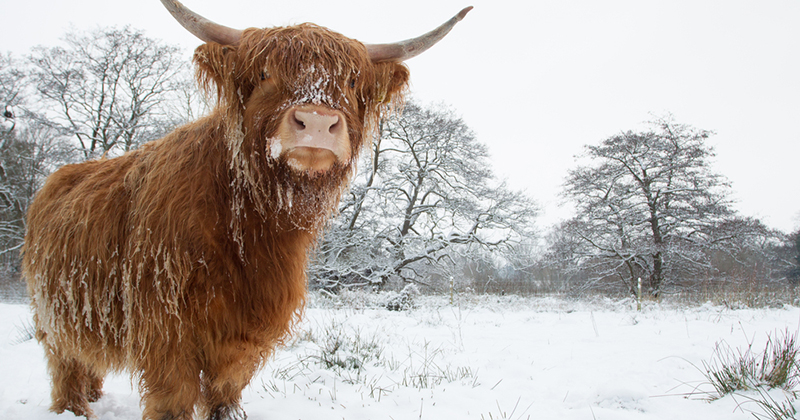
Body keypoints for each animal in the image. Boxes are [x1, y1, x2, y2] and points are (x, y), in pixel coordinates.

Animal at [20, 1, 468, 418]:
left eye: (352, 79)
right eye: (266, 74)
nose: (316, 121)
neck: (251, 228)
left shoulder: (247, 331)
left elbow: (225, 391)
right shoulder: (165, 324)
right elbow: (173, 398)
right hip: (52, 312)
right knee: (64, 364)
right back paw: (73, 408)